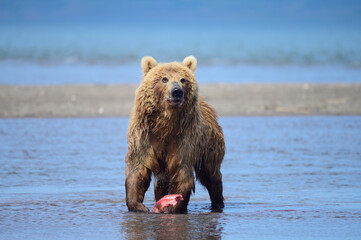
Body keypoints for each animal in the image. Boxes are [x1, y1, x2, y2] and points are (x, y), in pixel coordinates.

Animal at [125, 56, 224, 214]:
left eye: (183, 79)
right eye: (164, 79)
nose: (177, 91)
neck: (166, 124)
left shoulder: (184, 140)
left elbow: (182, 172)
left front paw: (175, 207)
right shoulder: (144, 136)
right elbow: (138, 169)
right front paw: (139, 206)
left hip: (209, 145)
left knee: (211, 175)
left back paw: (218, 203)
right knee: (161, 182)